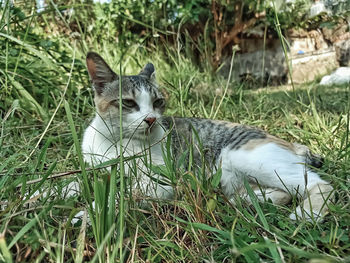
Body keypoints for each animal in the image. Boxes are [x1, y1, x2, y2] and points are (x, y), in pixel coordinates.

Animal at [82, 51, 334, 223]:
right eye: (128, 103)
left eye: (158, 102)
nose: (151, 119)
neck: (118, 143)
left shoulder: (162, 180)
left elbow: (126, 193)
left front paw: (89, 211)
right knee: (281, 193)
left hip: (248, 158)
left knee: (320, 184)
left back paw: (307, 214)